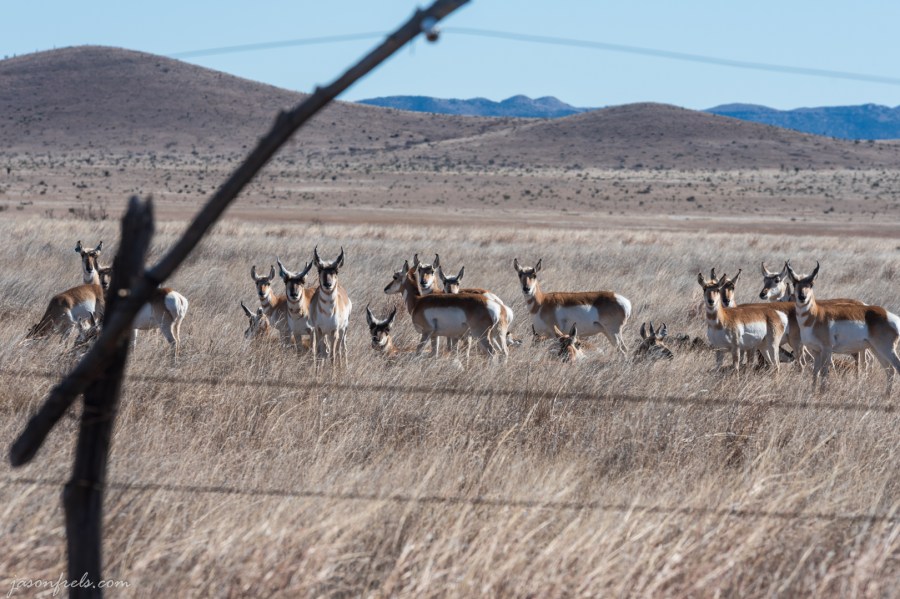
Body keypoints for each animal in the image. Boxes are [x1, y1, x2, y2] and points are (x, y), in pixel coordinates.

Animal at [787, 261, 900, 393]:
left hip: (887, 349)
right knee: (890, 370)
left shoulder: (826, 350)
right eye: (794, 283)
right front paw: (813, 391)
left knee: (895, 367)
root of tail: (889, 315)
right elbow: (815, 373)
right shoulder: (816, 351)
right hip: (877, 350)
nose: (802, 297)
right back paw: (886, 395)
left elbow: (824, 372)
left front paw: (822, 392)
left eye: (811, 284)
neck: (816, 316)